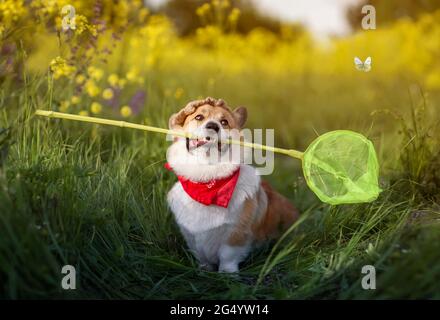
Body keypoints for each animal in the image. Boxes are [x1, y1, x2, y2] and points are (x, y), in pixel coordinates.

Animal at [165, 97, 300, 272]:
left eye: (224, 122)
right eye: (199, 117)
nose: (213, 126)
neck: (207, 178)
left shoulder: (236, 234)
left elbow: (227, 257)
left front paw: (227, 274)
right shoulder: (191, 237)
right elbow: (201, 256)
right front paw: (204, 270)